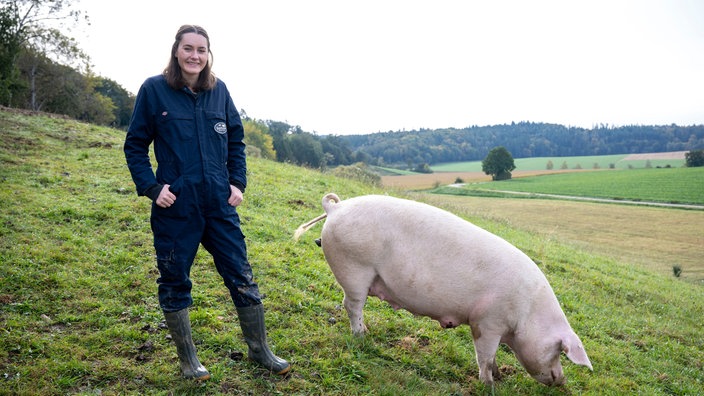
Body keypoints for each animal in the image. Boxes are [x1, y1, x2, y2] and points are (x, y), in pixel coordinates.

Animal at [294, 193, 592, 386]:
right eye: (559, 351)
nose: (561, 381)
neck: (528, 314)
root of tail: (336, 209)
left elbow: (493, 356)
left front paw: (499, 376)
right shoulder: (487, 322)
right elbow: (484, 356)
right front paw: (488, 385)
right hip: (354, 267)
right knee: (352, 305)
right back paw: (361, 336)